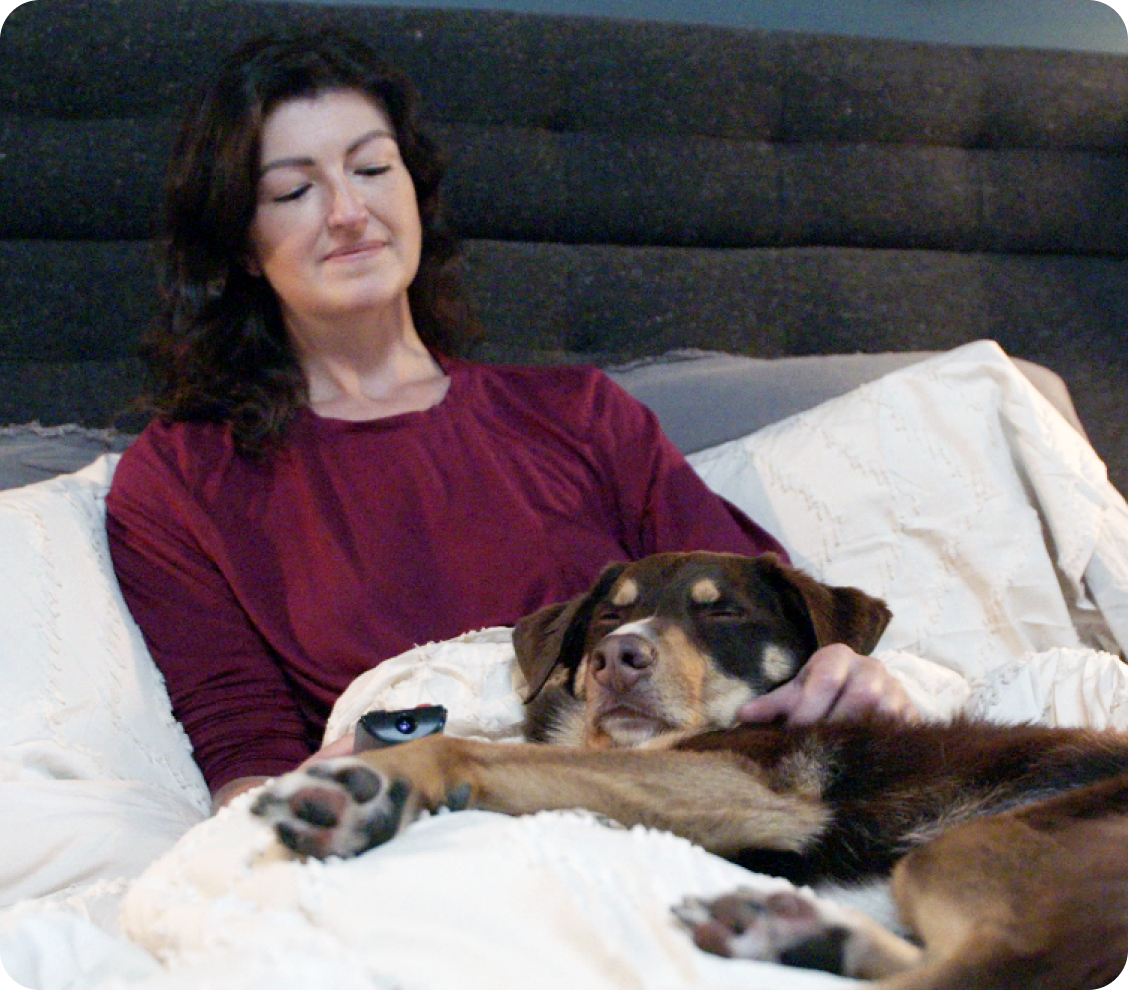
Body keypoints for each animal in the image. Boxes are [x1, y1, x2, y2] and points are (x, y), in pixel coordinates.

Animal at [251, 554, 1128, 987]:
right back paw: (788, 932)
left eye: (724, 612)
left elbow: (486, 750)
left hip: (980, 846)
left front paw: (377, 784)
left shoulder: (751, 784)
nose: (615, 657)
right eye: (611, 610)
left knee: (1006, 960)